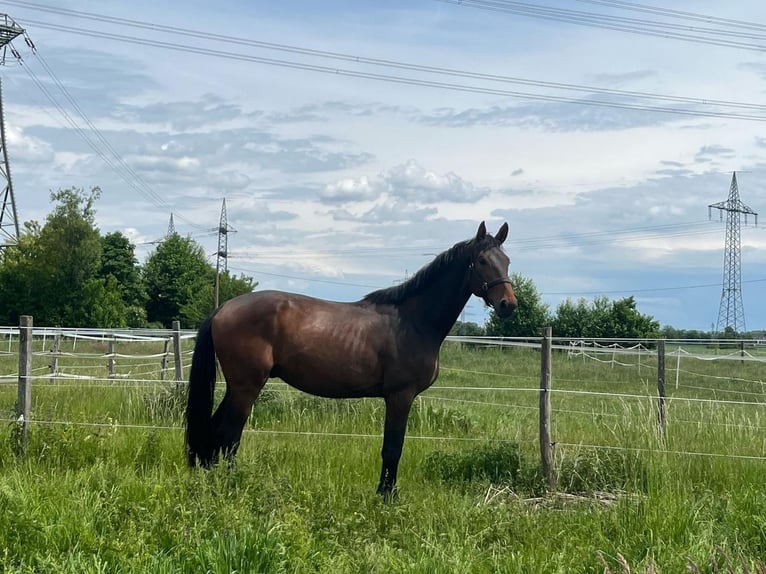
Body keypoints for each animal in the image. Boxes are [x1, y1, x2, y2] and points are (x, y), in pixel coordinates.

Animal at [185, 221, 517, 496]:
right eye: (483, 261)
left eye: (507, 261)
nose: (508, 305)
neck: (412, 322)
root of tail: (223, 308)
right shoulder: (400, 396)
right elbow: (392, 448)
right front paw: (387, 497)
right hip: (247, 387)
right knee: (228, 435)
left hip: (237, 387)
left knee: (215, 433)